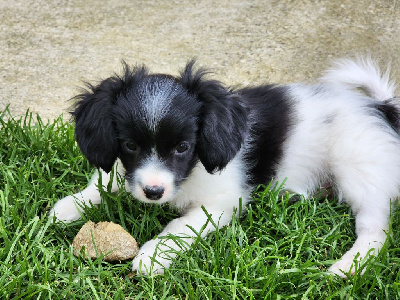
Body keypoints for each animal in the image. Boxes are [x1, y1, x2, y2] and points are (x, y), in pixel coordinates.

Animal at [50, 58, 400, 276]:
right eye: (131, 146)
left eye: (183, 147)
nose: (153, 192)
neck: (192, 171)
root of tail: (380, 107)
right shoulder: (129, 173)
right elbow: (106, 181)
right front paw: (68, 207)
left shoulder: (221, 203)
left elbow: (179, 226)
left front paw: (153, 256)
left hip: (358, 169)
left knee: (375, 228)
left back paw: (348, 267)